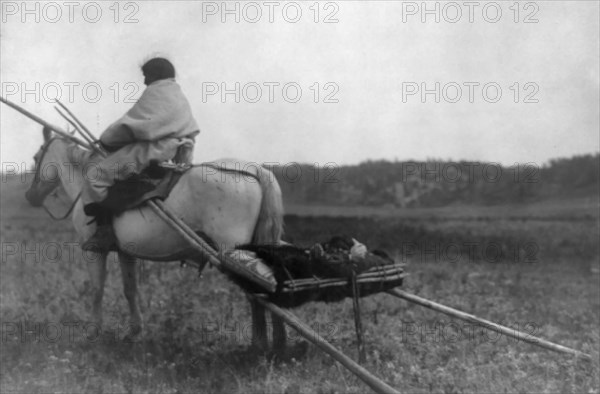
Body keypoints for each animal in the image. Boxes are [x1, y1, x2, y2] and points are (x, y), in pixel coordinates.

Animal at [27, 127, 290, 352]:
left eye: (36, 156)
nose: (31, 197)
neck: (85, 186)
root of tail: (255, 170)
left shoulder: (93, 251)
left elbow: (97, 290)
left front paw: (93, 333)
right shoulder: (125, 252)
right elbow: (130, 290)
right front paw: (134, 332)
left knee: (256, 295)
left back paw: (258, 347)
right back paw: (277, 345)